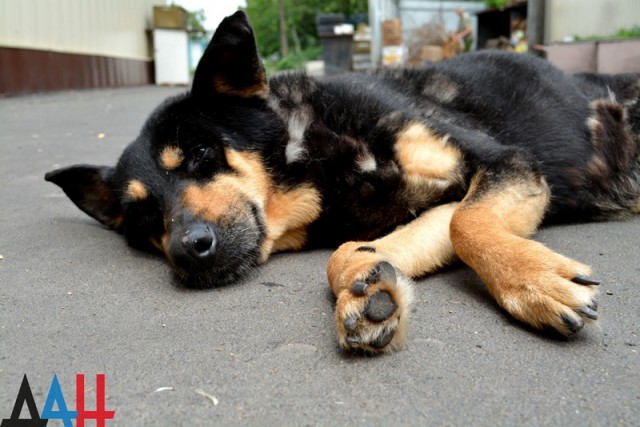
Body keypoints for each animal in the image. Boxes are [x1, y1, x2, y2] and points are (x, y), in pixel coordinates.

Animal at [46, 12, 640, 354]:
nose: (187, 251)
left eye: (200, 154)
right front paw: (368, 285)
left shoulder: (502, 162)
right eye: (146, 217)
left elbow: (470, 223)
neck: (318, 160)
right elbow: (358, 249)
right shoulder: (442, 200)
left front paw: (534, 283)